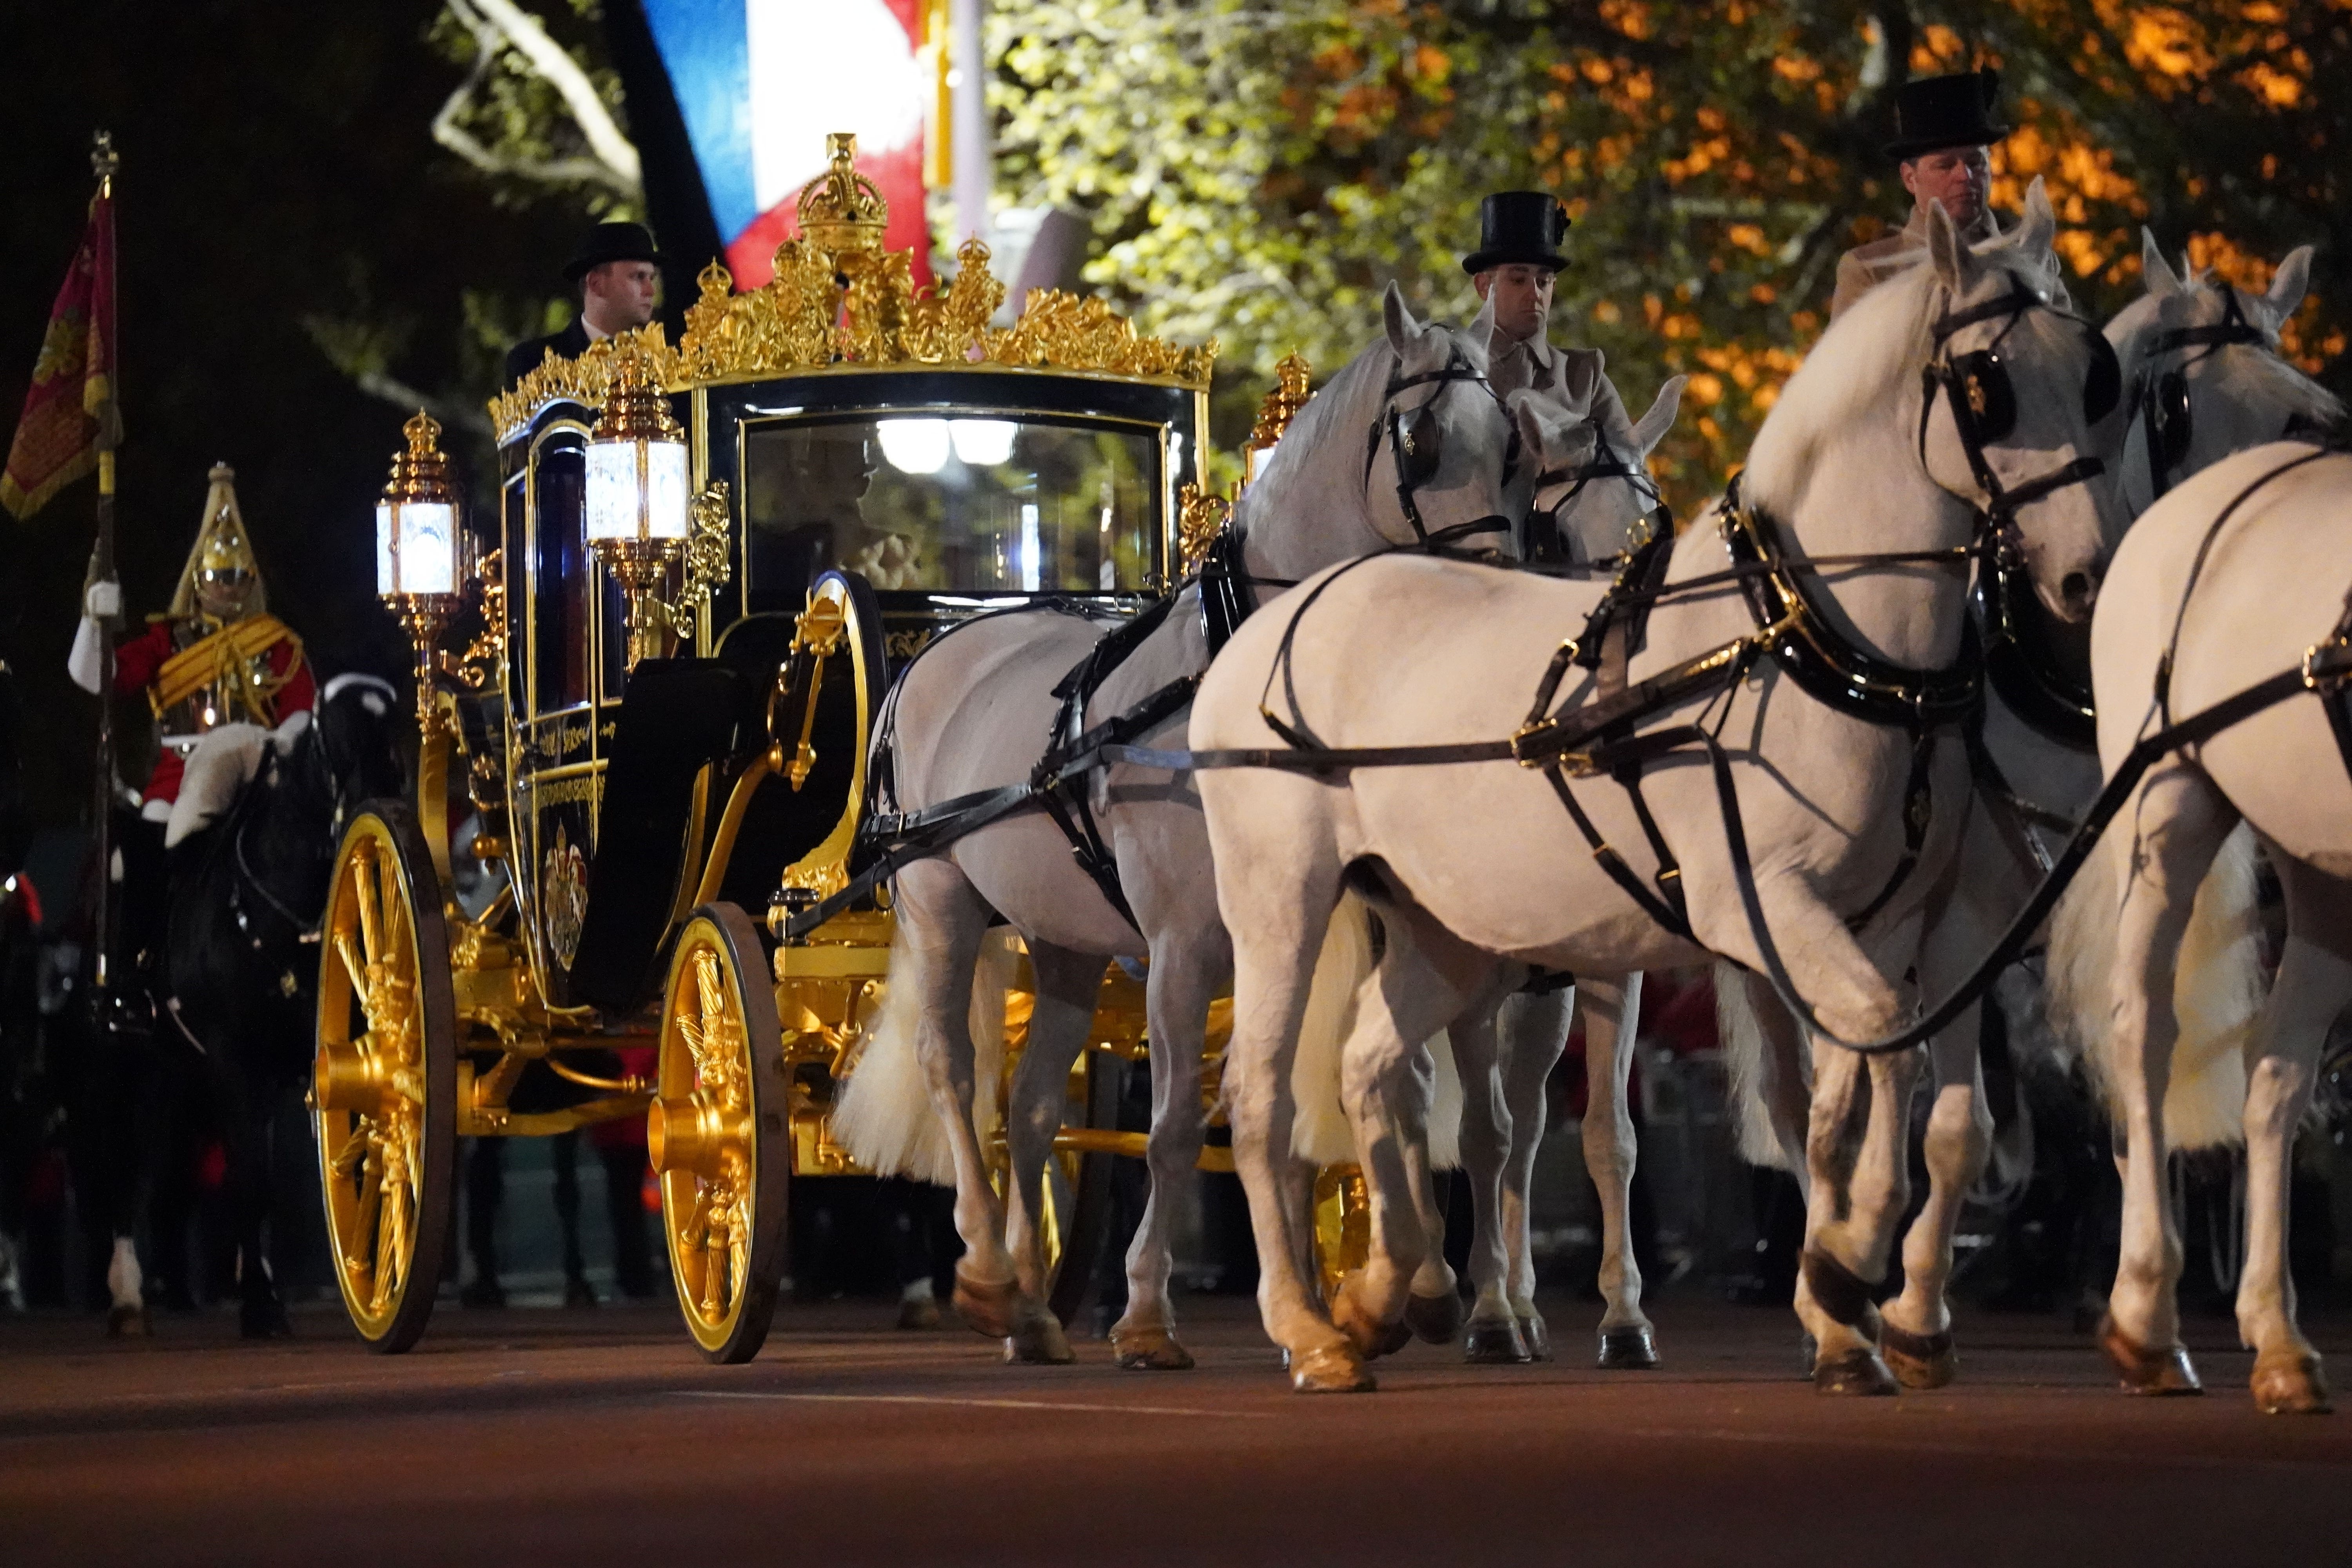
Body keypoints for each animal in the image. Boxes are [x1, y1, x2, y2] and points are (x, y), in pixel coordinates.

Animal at [168, 677, 405, 1335]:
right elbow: (252, 1180)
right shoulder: (232, 1060)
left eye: (397, 730)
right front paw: (260, 1305)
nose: (378, 810)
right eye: (331, 734)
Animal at [828, 288, 1599, 1363]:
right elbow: (1180, 1125)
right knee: (954, 1069)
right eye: (1421, 439)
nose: (1491, 596)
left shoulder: (1338, 925)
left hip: (1064, 935)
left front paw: (1401, 1290)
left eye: (1519, 451)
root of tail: (941, 646)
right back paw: (984, 1268)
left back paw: (1031, 1305)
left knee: (1030, 1102)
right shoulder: (1187, 941)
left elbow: (1361, 1088)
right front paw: (1153, 1312)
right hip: (939, 896)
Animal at [1195, 187, 2117, 1401]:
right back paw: (1309, 1324)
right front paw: (1847, 1266)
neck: (1811, 639)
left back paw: (1389, 1289)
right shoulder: (1763, 908)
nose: (2084, 574)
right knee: (1266, 1095)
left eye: (2092, 370)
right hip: (1281, 906)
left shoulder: (1913, 924)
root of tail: (1285, 614)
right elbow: (1874, 1055)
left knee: (1376, 1068)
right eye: (1987, 380)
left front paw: (1855, 1306)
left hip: (1447, 934)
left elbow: (1877, 1090)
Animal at [1703, 230, 2324, 1382]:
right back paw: (1819, 1279)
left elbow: (2116, 1091)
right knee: (1801, 1095)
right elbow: (1960, 1122)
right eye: (2172, 405)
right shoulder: (1977, 923)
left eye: (2301, 413)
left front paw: (2142, 1309)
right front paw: (1907, 1301)